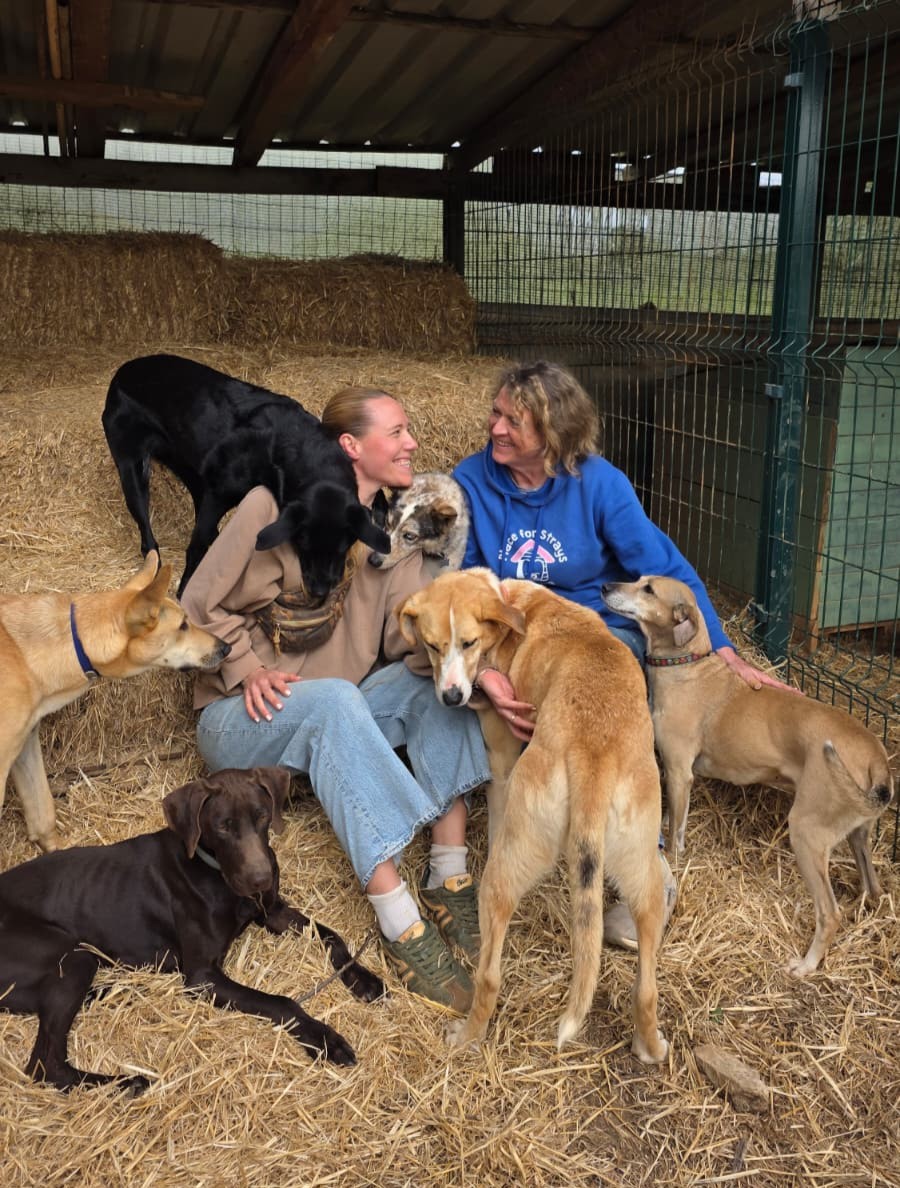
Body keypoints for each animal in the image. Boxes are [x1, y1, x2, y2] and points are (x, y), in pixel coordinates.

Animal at [0, 766, 385, 1092]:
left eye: (262, 816)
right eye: (223, 826)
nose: (262, 879)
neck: (214, 870)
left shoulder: (274, 912)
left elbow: (332, 935)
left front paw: (364, 980)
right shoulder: (202, 976)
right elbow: (282, 1002)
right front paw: (325, 1039)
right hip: (71, 955)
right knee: (45, 1064)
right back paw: (126, 1083)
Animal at [102, 354, 390, 597]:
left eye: (344, 546)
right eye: (302, 543)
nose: (320, 592)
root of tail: (122, 371)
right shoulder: (217, 494)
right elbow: (197, 545)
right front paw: (185, 592)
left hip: (191, 470)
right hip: (132, 470)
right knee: (147, 533)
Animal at [398, 569, 668, 1062]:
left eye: (467, 643)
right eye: (431, 645)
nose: (452, 697)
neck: (514, 606)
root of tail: (592, 752)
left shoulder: (502, 761)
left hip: (501, 876)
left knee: (489, 975)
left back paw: (467, 1037)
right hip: (646, 879)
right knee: (646, 987)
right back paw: (650, 1046)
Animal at [601, 576, 895, 976]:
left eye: (648, 589)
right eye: (637, 579)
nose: (604, 587)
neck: (685, 665)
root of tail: (877, 754)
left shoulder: (678, 773)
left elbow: (675, 833)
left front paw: (674, 862)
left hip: (807, 834)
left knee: (830, 914)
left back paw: (806, 966)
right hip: (857, 835)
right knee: (873, 889)